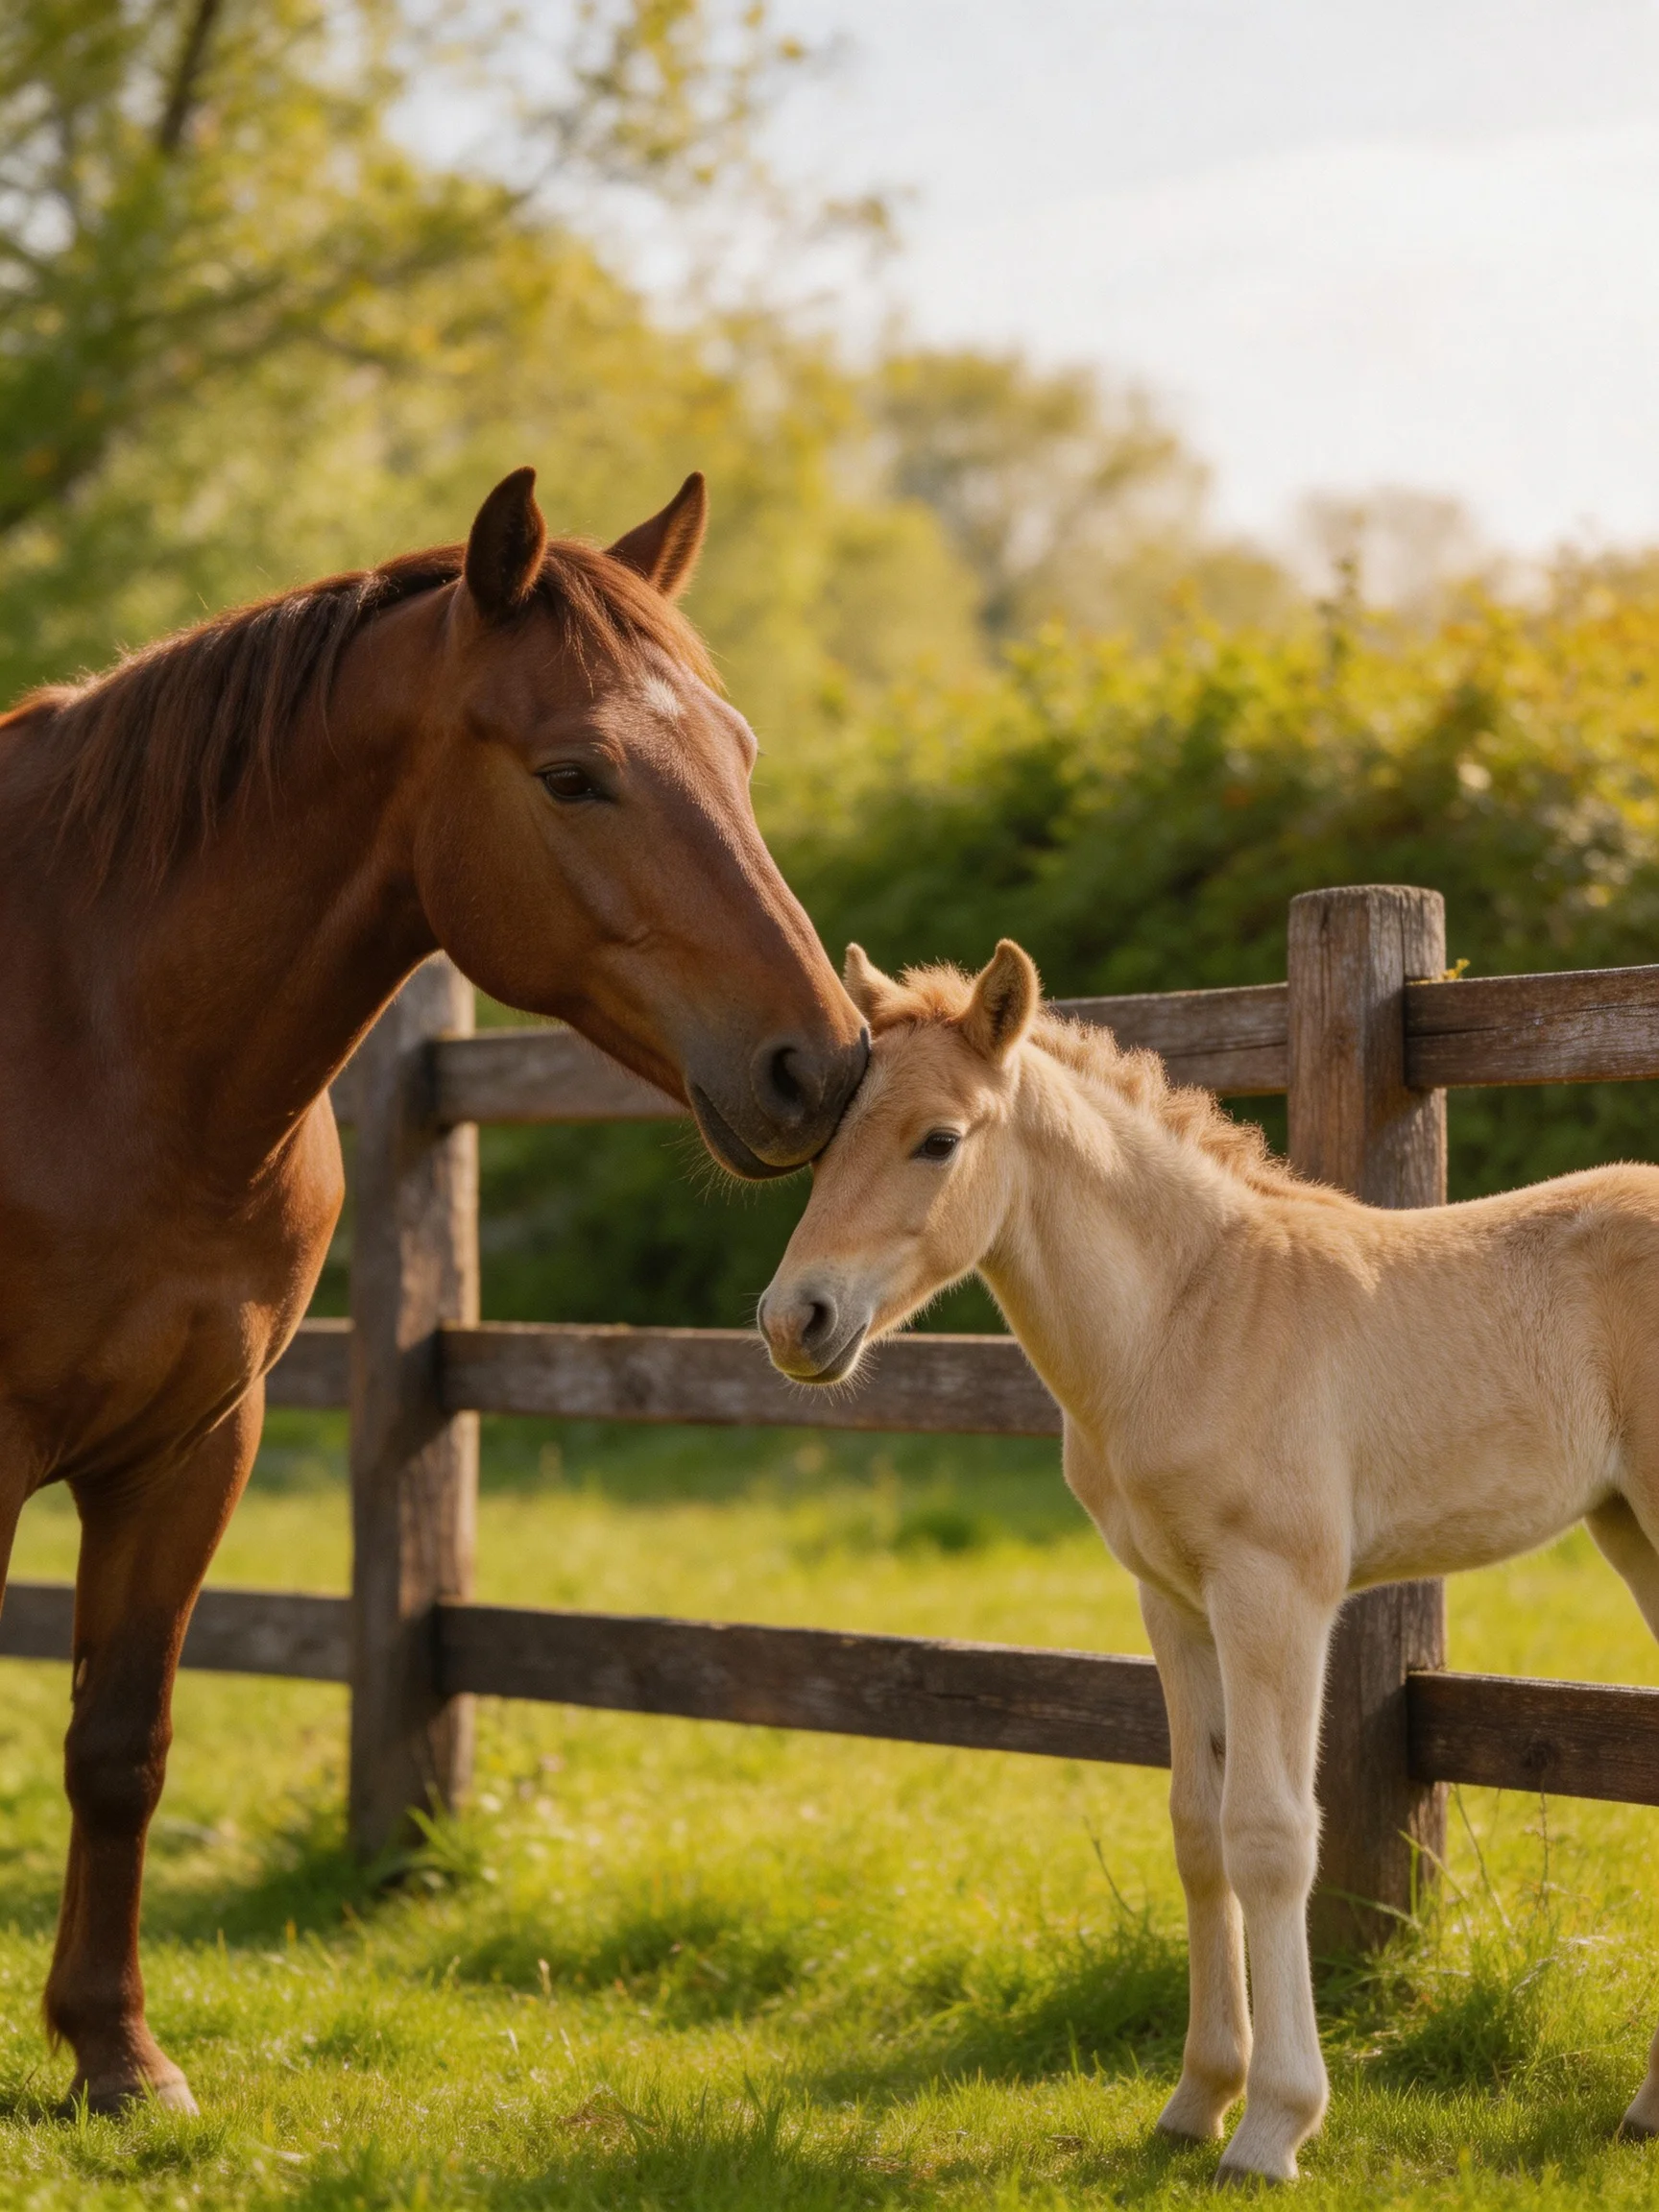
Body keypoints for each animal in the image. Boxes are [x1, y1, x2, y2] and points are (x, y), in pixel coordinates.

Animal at [0, 465, 867, 2117]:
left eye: (736, 751)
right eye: (576, 775)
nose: (826, 1067)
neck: (83, 1031)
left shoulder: (193, 1446)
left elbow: (119, 1748)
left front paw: (118, 2057)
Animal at [759, 937, 1659, 2183]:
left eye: (938, 1139)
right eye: (827, 1137)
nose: (793, 1320)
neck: (1190, 1316)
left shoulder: (1276, 1592)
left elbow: (1270, 1835)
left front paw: (1275, 2125)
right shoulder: (1171, 1601)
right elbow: (1197, 1828)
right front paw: (1196, 2101)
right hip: (1626, 1526)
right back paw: (1646, 2107)